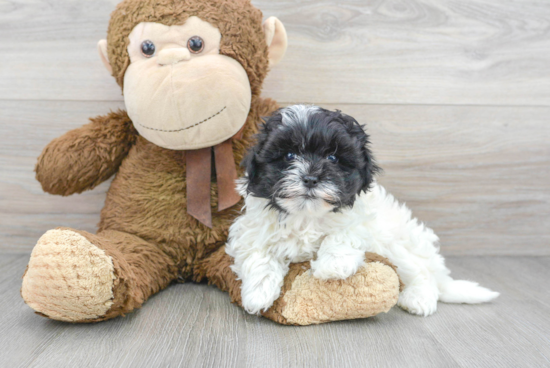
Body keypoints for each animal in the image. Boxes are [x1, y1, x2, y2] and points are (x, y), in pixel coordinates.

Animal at [226, 105, 502, 314]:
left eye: (333, 158)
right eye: (289, 155)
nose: (311, 178)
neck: (308, 216)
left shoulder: (363, 218)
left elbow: (345, 234)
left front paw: (333, 265)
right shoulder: (252, 229)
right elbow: (258, 255)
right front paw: (258, 293)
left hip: (402, 245)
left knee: (422, 274)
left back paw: (418, 298)